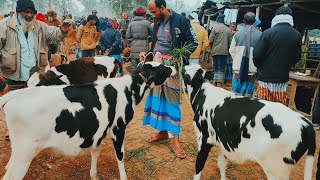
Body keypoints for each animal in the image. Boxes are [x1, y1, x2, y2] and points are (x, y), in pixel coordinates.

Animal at [0, 62, 175, 180]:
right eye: (161, 68)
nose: (172, 67)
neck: (128, 88)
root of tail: (17, 93)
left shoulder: (100, 130)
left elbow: (95, 152)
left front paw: (93, 175)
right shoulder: (118, 127)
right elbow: (120, 155)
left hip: (19, 151)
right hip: (25, 153)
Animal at [184, 65, 316, 180]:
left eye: (185, 74)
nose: (184, 66)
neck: (201, 92)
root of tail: (307, 124)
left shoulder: (204, 139)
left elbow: (199, 165)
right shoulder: (223, 142)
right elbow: (222, 164)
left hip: (276, 170)